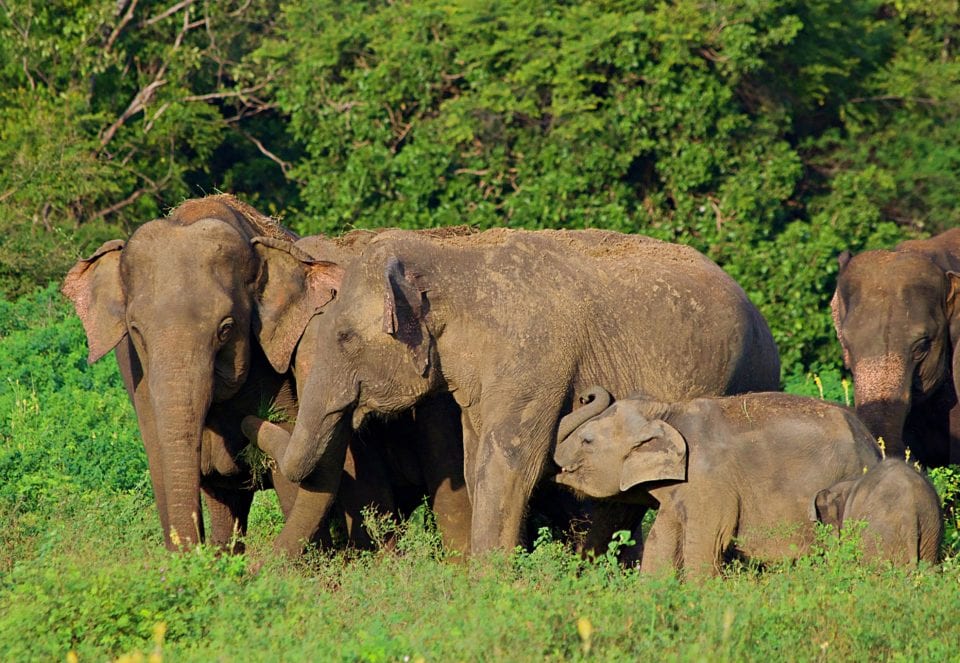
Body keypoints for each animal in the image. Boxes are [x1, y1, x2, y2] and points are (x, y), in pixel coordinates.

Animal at [62, 195, 386, 552]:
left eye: (226, 329)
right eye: (136, 330)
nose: (251, 424)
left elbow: (289, 467)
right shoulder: (137, 377)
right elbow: (161, 462)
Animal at [256, 228, 780, 556]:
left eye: (343, 338)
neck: (451, 257)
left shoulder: (534, 355)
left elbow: (507, 464)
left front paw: (488, 585)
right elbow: (474, 462)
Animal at [552, 390, 880, 576]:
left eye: (587, 440)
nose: (584, 395)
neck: (669, 411)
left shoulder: (710, 482)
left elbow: (707, 542)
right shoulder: (679, 491)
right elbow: (661, 540)